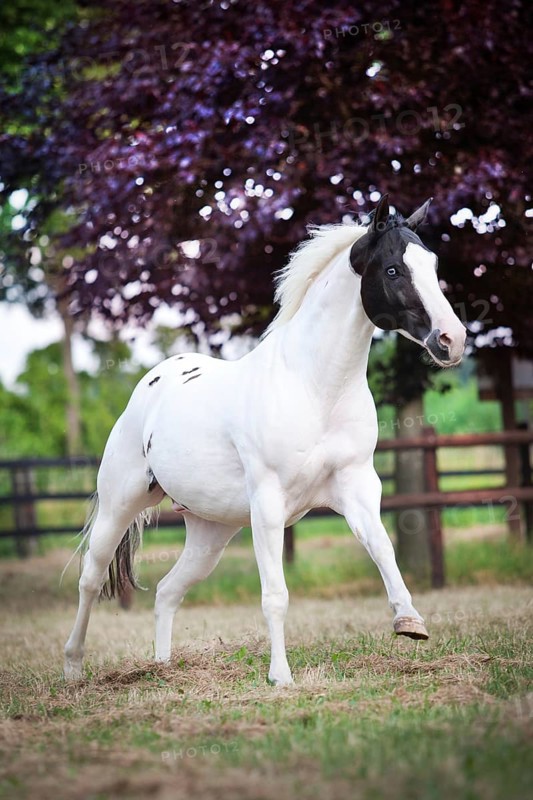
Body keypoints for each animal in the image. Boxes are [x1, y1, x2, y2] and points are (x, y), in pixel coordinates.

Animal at [64, 195, 466, 685]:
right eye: (392, 270)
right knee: (90, 578)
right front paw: (281, 677)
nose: (452, 340)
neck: (313, 387)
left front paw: (409, 621)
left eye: (432, 263)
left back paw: (162, 667)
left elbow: (383, 549)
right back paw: (73, 668)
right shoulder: (269, 505)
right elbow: (275, 594)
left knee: (167, 590)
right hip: (120, 505)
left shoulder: (357, 487)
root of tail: (149, 386)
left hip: (209, 533)